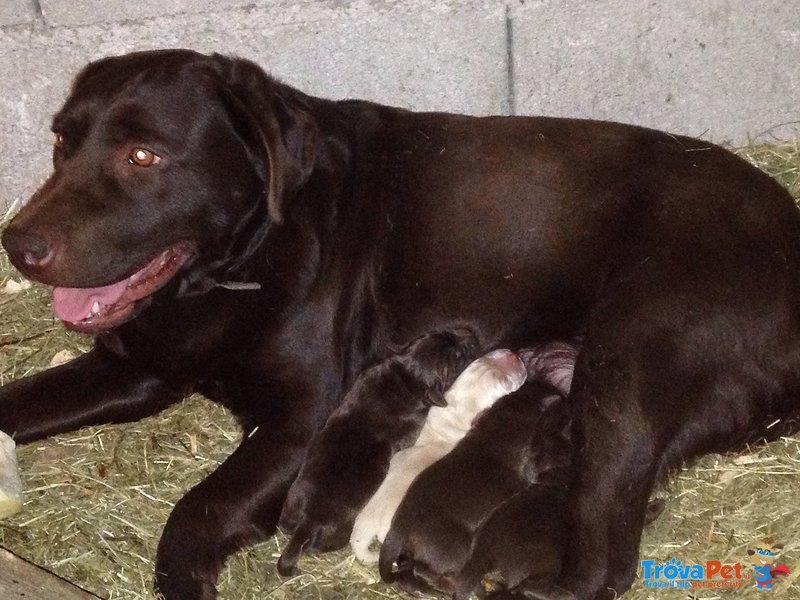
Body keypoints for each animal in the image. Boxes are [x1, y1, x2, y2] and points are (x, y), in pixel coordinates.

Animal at [276, 328, 478, 576]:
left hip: (290, 506)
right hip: (337, 533)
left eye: (441, 332)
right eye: (458, 357)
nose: (471, 333)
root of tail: (306, 523)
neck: (407, 376)